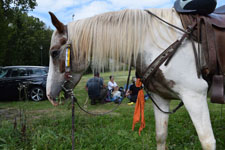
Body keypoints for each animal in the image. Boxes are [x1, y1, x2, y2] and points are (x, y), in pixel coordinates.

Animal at [46, 8, 215, 150]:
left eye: (54, 53)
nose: (49, 96)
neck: (158, 43)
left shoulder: (194, 95)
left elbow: (207, 141)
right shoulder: (160, 97)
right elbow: (161, 136)